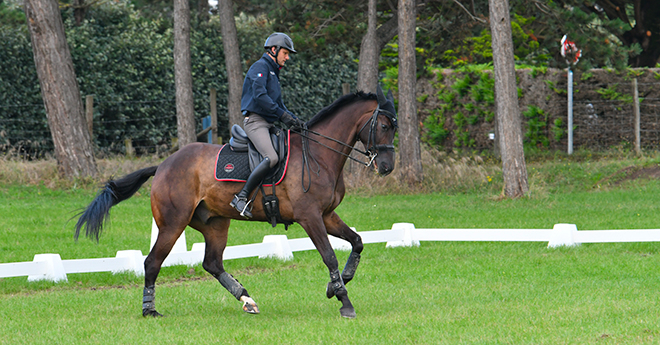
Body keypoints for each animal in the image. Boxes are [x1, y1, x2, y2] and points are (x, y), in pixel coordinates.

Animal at [75, 86, 400, 318]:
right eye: (384, 126)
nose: (386, 167)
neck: (319, 155)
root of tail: (164, 164)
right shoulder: (310, 217)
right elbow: (329, 255)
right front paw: (344, 301)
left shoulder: (327, 215)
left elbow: (357, 242)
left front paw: (338, 284)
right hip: (173, 223)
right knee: (153, 262)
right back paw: (149, 310)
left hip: (215, 223)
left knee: (212, 263)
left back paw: (247, 299)